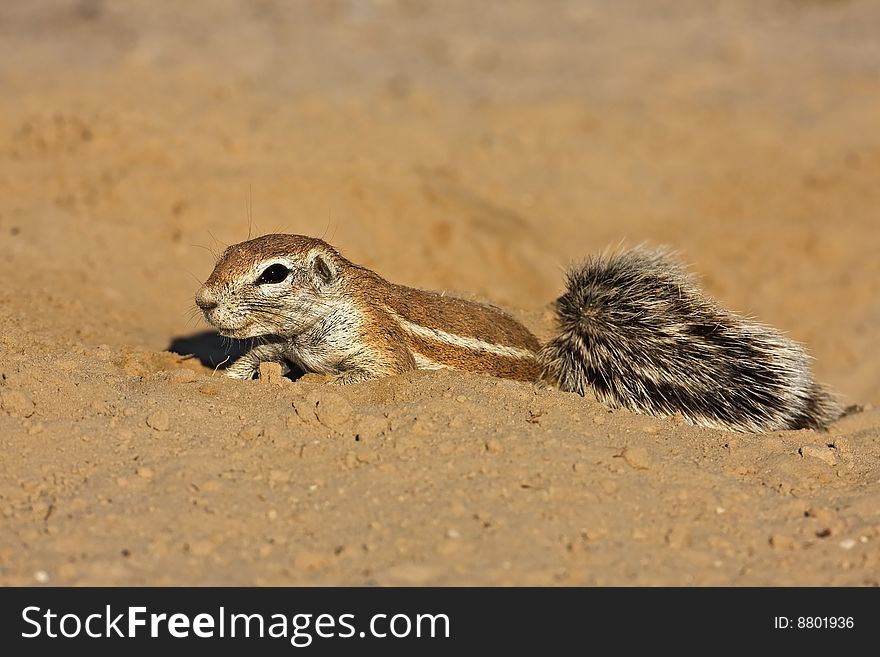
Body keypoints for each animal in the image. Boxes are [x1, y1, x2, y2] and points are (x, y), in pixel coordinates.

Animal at [196, 234, 844, 430]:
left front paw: (313, 389)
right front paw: (232, 373)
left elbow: (381, 374)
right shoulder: (284, 341)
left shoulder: (377, 341)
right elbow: (260, 350)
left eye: (274, 273)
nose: (202, 301)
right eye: (225, 251)